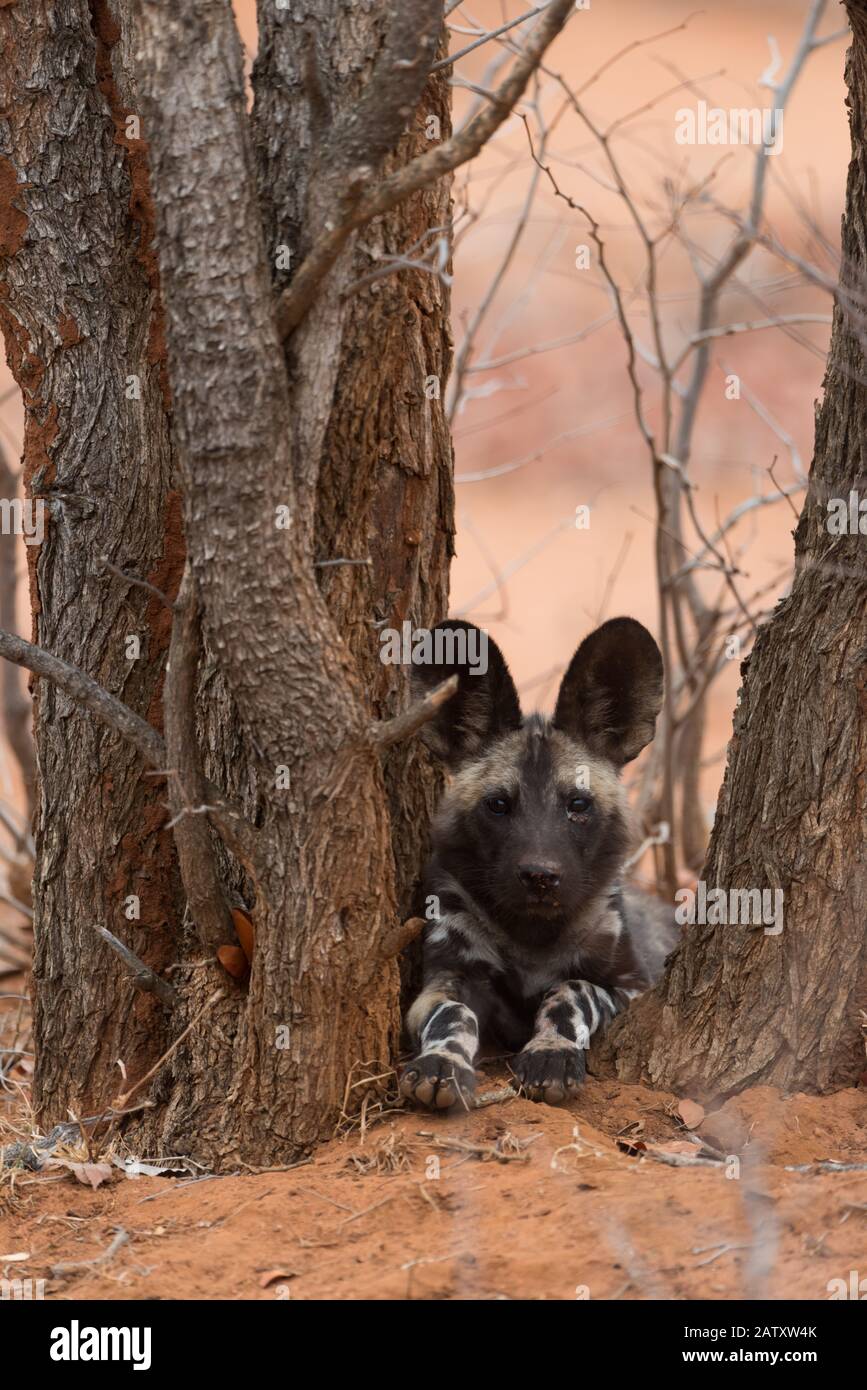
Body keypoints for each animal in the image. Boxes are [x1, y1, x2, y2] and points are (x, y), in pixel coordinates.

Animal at [400, 616, 678, 1110]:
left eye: (578, 805)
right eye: (498, 805)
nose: (540, 876)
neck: (532, 934)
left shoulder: (633, 988)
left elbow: (572, 991)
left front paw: (551, 1053)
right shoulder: (448, 978)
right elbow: (452, 1016)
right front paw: (442, 1062)